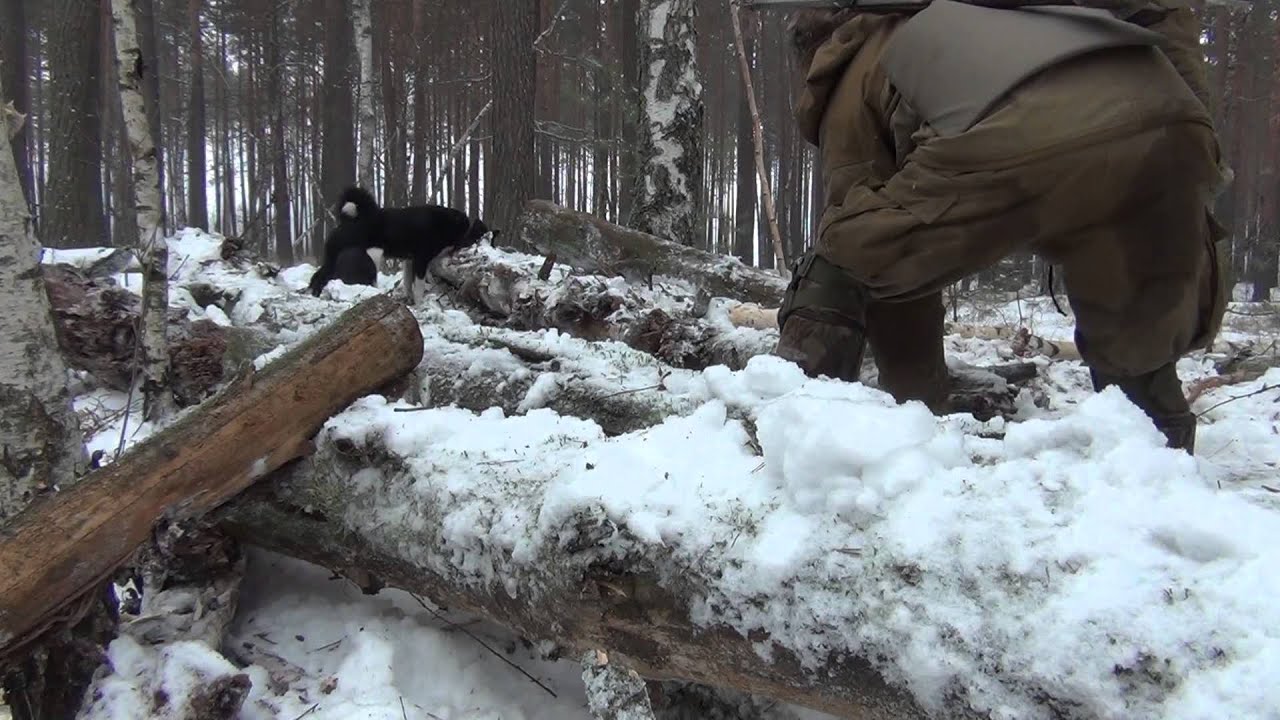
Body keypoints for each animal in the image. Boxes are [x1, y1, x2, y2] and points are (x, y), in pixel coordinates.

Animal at [307, 184, 496, 299]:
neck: (453, 226)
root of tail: (349, 221)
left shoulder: (409, 260)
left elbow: (407, 284)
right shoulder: (420, 259)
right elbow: (418, 287)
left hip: (333, 258)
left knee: (319, 277)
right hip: (373, 256)